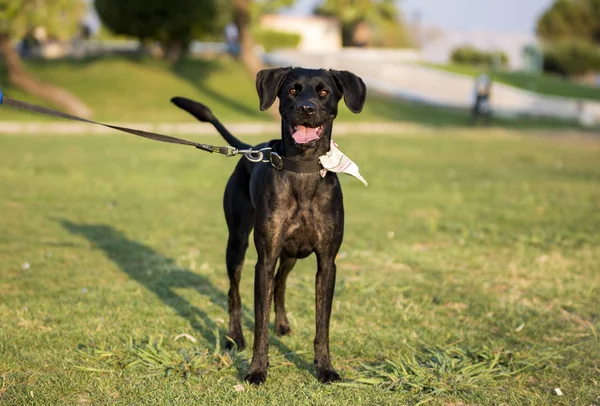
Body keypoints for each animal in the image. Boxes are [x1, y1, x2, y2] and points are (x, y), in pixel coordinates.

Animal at [170, 66, 366, 384]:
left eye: (324, 92)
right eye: (292, 90)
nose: (306, 109)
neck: (303, 169)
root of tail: (250, 149)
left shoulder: (327, 263)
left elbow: (321, 324)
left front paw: (325, 368)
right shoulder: (264, 259)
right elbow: (260, 325)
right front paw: (257, 370)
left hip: (291, 255)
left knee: (281, 284)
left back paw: (282, 324)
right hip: (237, 242)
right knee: (234, 291)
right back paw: (235, 337)